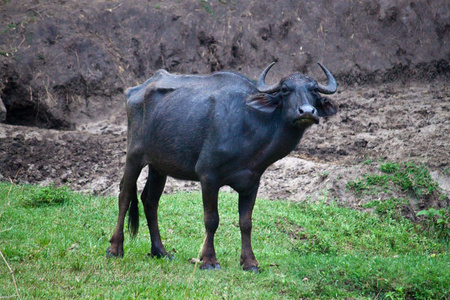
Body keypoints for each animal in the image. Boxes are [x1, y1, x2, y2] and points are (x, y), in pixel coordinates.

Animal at [107, 62, 336, 272]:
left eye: (314, 90)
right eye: (285, 89)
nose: (307, 111)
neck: (249, 125)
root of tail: (137, 89)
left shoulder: (252, 183)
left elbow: (246, 222)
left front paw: (250, 262)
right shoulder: (208, 177)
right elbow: (211, 219)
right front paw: (209, 260)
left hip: (159, 166)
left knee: (150, 201)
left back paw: (160, 251)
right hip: (134, 155)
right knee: (125, 195)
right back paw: (115, 248)